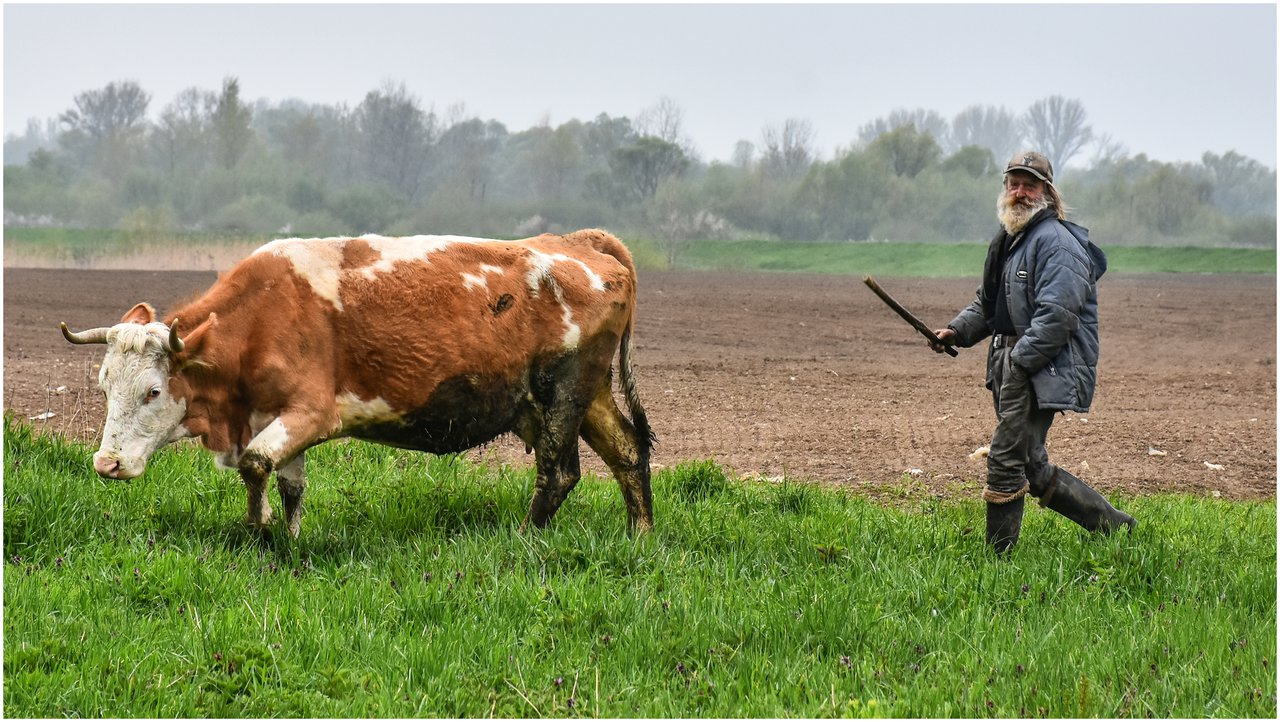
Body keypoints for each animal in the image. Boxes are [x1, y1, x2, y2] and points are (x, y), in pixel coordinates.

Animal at [62, 230, 650, 535]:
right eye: (104, 386)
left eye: (153, 391)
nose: (106, 464)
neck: (263, 316)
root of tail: (575, 242)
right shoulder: (275, 416)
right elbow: (286, 481)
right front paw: (287, 540)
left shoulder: (312, 413)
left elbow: (255, 464)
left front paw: (258, 528)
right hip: (587, 397)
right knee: (627, 451)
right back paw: (639, 534)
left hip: (563, 394)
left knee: (558, 472)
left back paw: (526, 537)